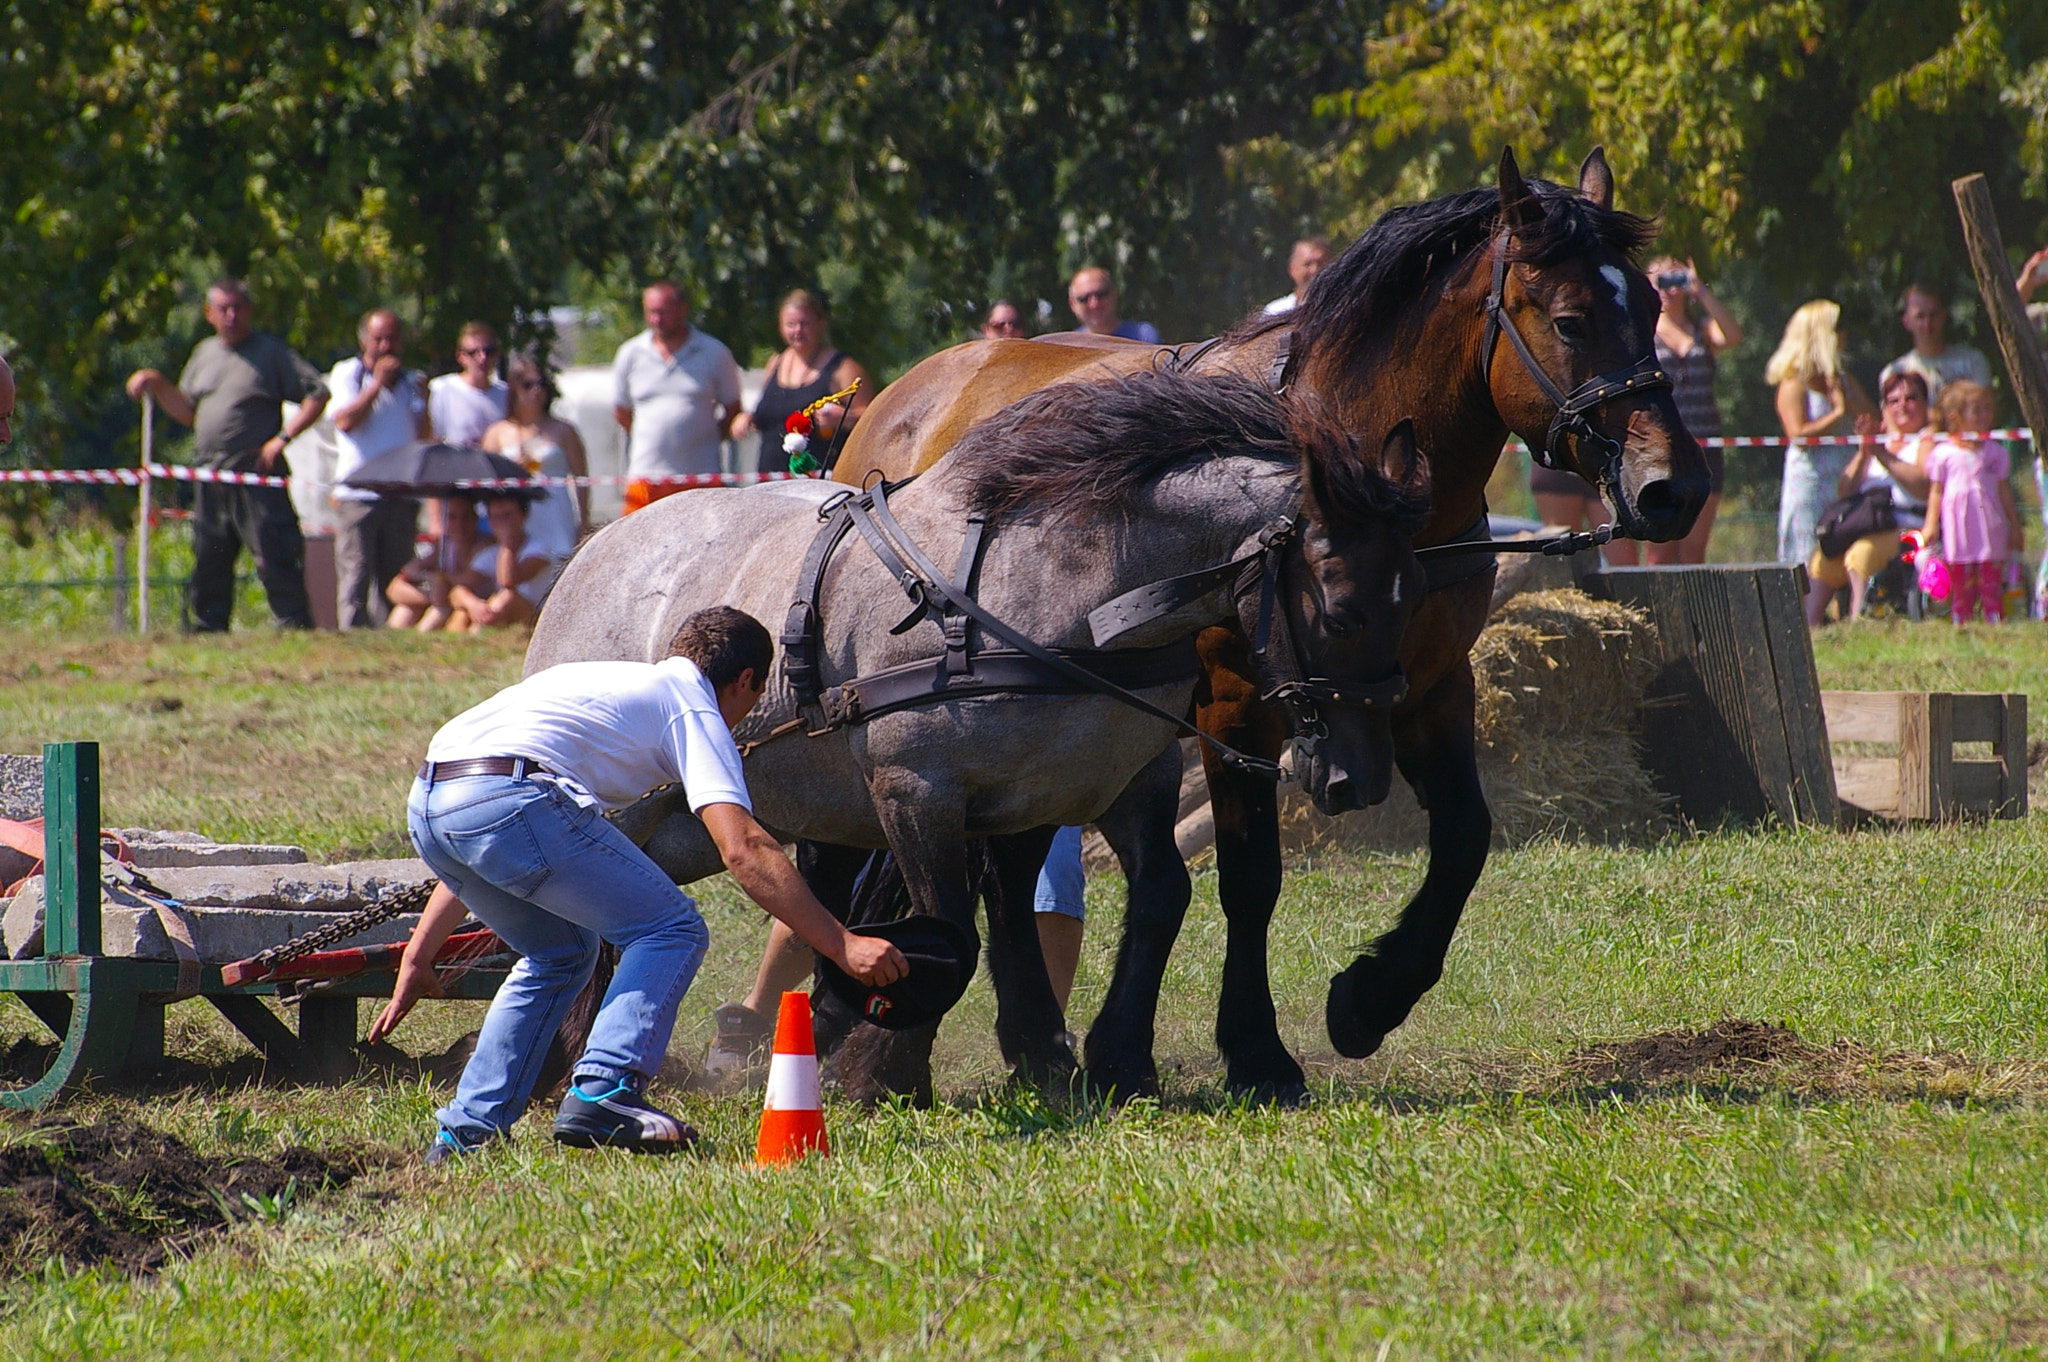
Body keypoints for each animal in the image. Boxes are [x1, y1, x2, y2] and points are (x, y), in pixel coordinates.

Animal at [528, 366, 1425, 1089]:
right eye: (1342, 613)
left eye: (1413, 598)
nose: (1359, 778)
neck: (1052, 593)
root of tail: (596, 546)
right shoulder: (917, 793)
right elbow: (952, 926)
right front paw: (880, 1070)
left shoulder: (1105, 779)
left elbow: (1151, 896)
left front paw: (1099, 1058)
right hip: (626, 804)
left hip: (690, 822)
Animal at [823, 146, 1703, 1097]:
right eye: (1573, 320)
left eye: (1655, 305)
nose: (1675, 487)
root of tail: (894, 400)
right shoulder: (1234, 707)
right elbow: (1249, 877)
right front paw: (1253, 1049)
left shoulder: (1430, 686)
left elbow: (1465, 836)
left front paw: (1370, 998)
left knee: (1012, 861)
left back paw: (1034, 1043)